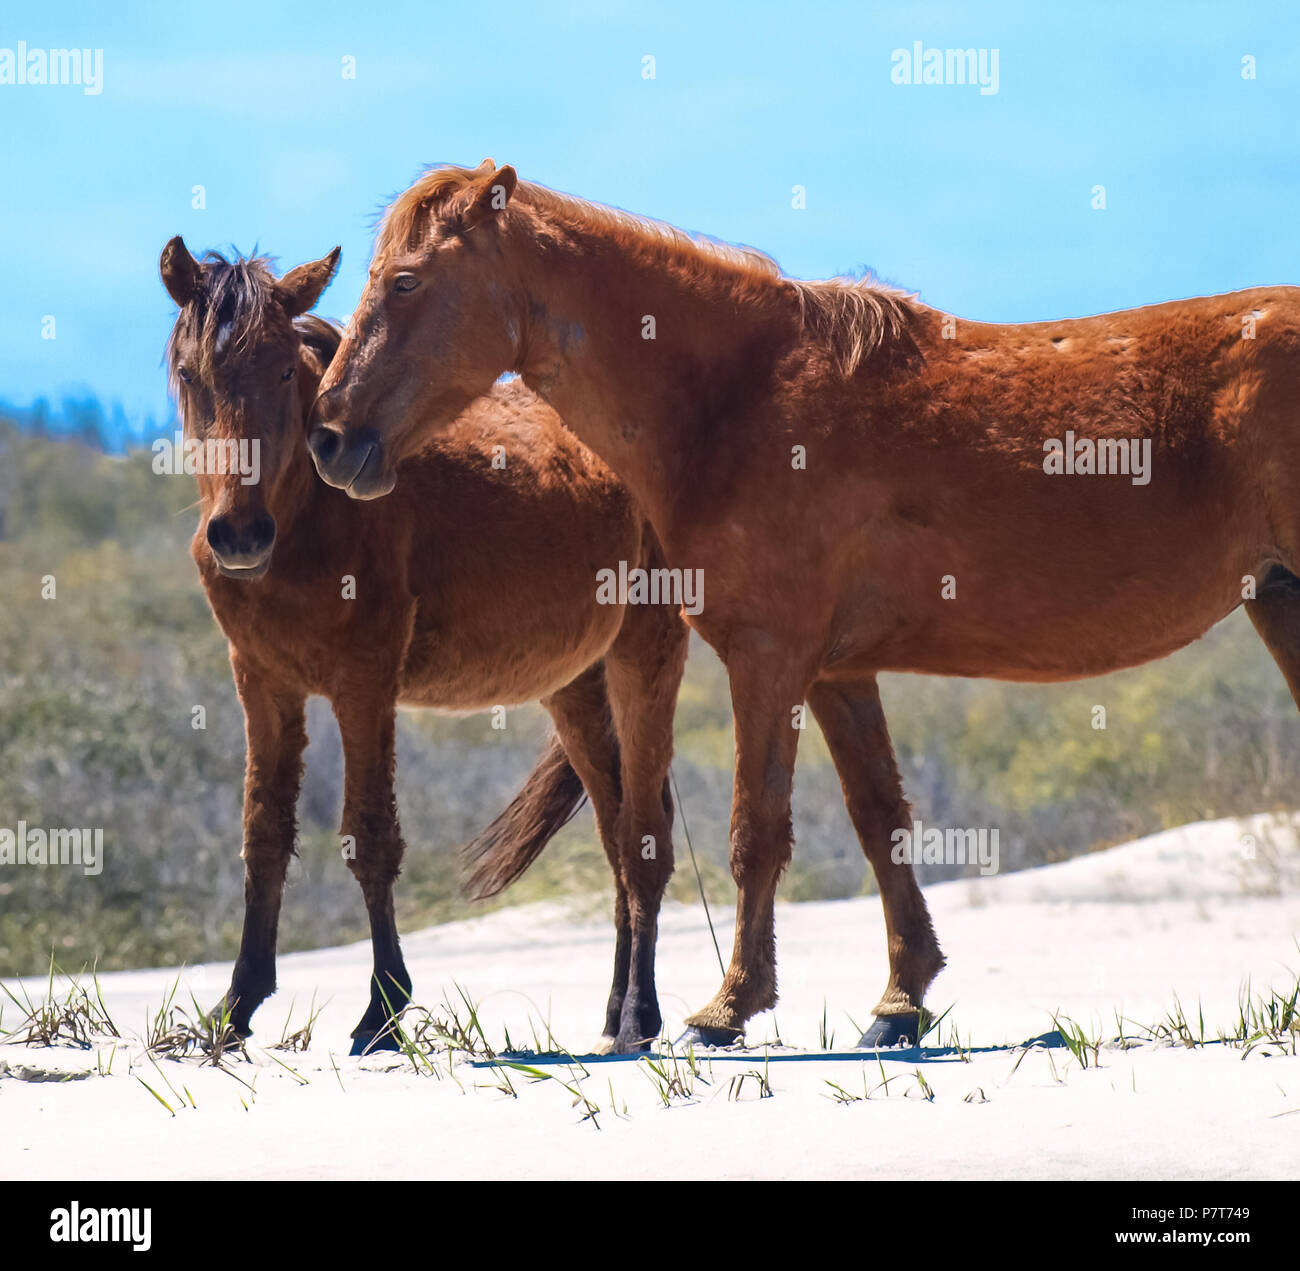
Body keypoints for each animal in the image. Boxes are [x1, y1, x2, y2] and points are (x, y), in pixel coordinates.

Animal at [162, 237, 691, 1050]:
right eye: (191, 374)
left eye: (282, 371)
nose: (240, 535)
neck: (314, 511)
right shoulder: (265, 685)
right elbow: (264, 837)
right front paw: (235, 1005)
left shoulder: (365, 682)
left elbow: (371, 836)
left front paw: (382, 1009)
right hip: (575, 686)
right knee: (616, 831)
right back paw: (616, 1011)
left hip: (646, 653)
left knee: (644, 836)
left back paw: (638, 1014)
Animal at [306, 158, 1300, 1044]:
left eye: (405, 281)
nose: (329, 437)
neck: (739, 399)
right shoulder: (836, 672)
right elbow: (879, 821)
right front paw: (901, 1000)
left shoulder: (769, 658)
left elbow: (757, 830)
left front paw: (727, 1006)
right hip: (1278, 601)